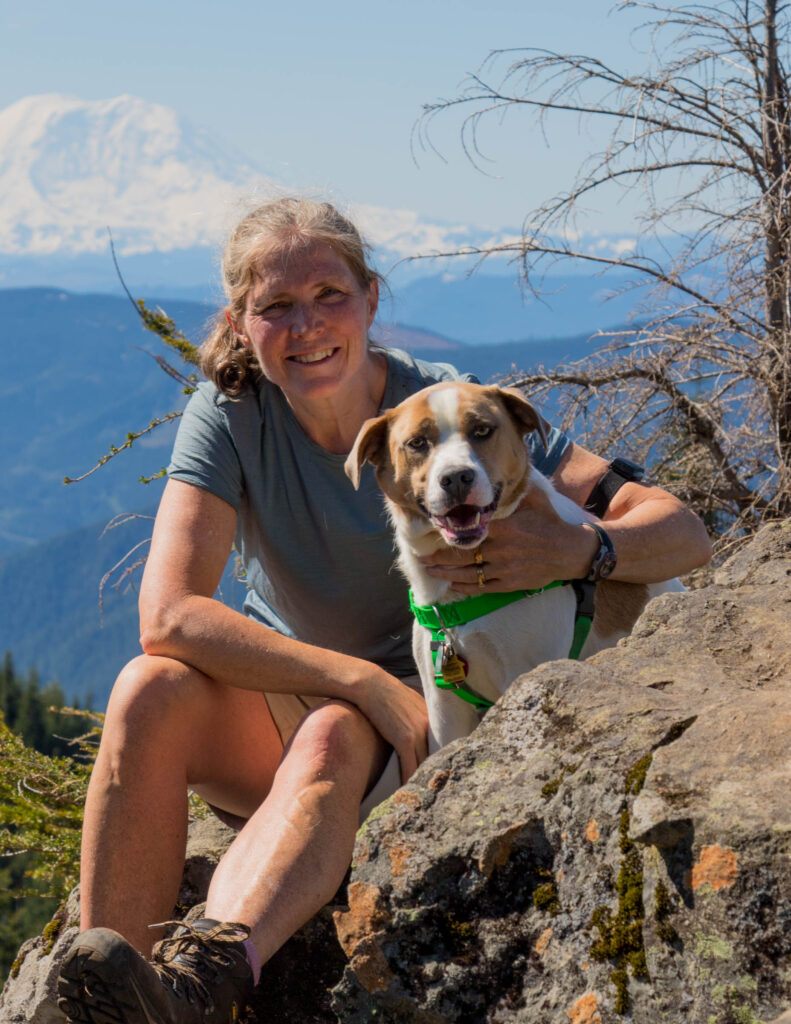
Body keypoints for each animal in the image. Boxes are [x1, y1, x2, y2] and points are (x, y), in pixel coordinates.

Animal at [342, 385, 684, 753]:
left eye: (482, 430)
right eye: (417, 442)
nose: (456, 478)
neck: (459, 598)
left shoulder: (526, 678)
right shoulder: (443, 707)